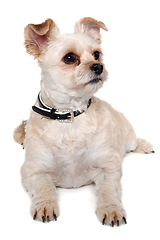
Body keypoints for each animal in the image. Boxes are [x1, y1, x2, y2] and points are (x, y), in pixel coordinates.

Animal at [13, 18, 154, 227]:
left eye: (96, 54)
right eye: (70, 58)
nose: (98, 66)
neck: (70, 117)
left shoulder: (108, 167)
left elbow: (108, 190)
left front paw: (111, 209)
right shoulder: (33, 170)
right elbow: (43, 186)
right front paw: (45, 204)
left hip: (128, 138)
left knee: (134, 142)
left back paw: (144, 145)